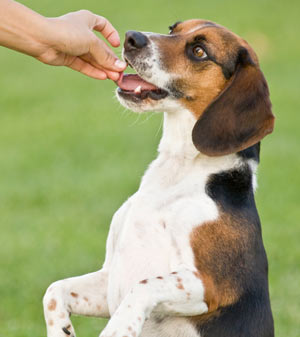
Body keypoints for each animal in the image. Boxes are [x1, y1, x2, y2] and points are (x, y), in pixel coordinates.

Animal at [43, 19, 276, 336]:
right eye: (172, 29)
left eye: (199, 51)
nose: (131, 38)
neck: (177, 171)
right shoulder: (108, 280)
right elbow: (54, 290)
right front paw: (61, 329)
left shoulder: (210, 285)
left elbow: (143, 286)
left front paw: (119, 328)